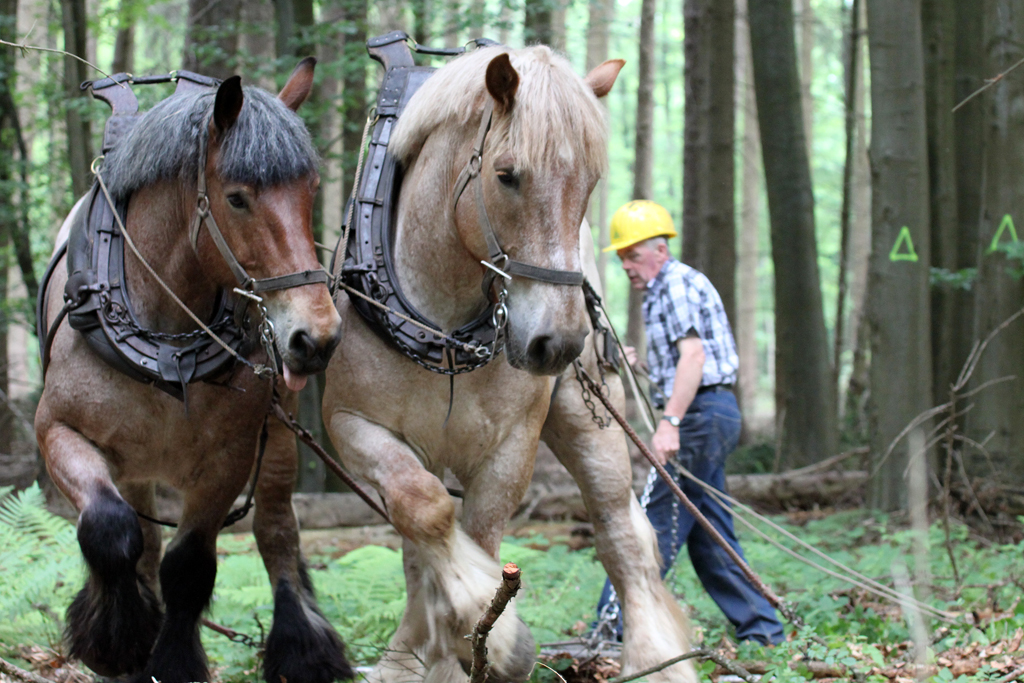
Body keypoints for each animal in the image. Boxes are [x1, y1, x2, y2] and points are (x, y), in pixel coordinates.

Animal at [36, 61, 350, 679]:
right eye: (237, 199)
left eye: (309, 192)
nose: (317, 338)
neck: (165, 341)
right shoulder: (58, 429)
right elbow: (110, 529)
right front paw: (119, 640)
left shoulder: (229, 458)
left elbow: (189, 566)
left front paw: (171, 659)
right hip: (134, 462)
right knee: (139, 531)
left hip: (277, 436)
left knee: (276, 531)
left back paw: (300, 646)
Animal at [264, 45, 696, 679]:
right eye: (506, 175)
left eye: (590, 182)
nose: (557, 342)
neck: (440, 326)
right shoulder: (355, 426)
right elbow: (423, 516)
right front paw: (436, 648)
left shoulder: (510, 443)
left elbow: (483, 534)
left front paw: (476, 645)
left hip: (587, 413)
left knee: (622, 528)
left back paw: (660, 657)